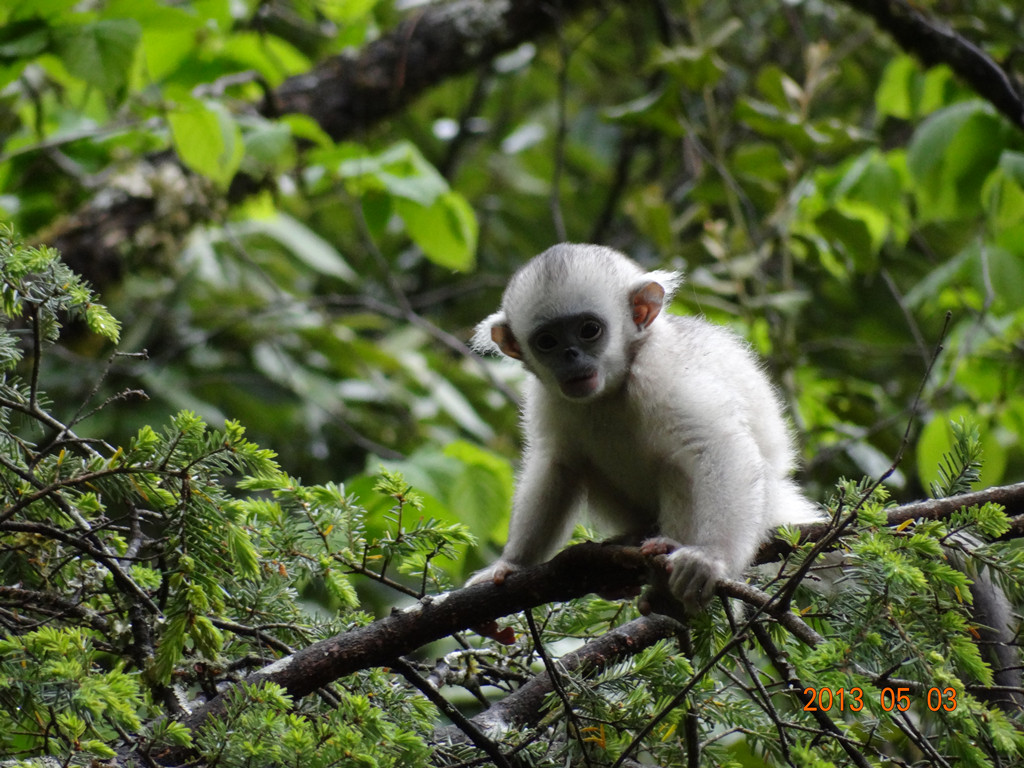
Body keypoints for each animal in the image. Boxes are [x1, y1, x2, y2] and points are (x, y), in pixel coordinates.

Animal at [468, 243, 819, 610]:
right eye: (547, 341)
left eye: (589, 330)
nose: (570, 356)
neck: (612, 390)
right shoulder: (548, 397)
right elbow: (558, 465)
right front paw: (513, 563)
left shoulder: (660, 369)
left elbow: (717, 444)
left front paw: (711, 557)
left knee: (677, 465)